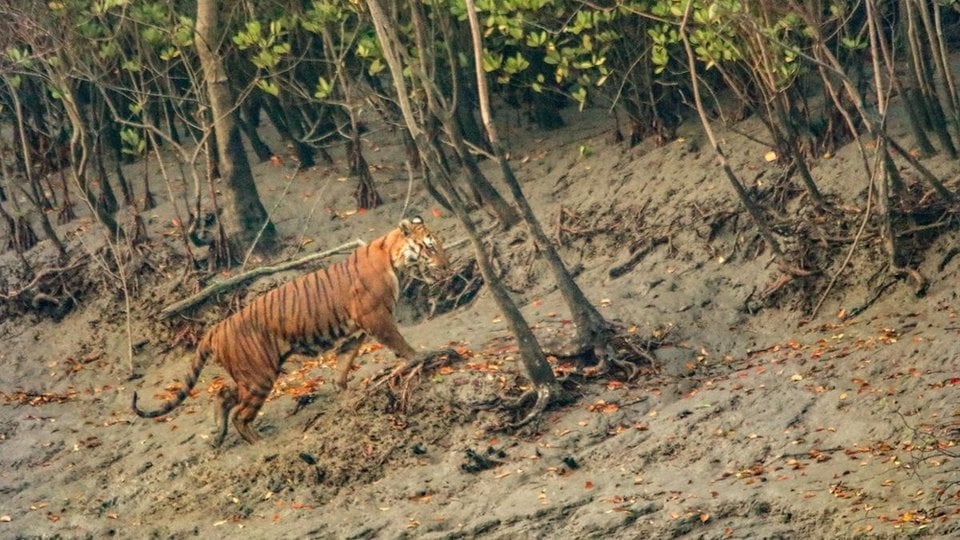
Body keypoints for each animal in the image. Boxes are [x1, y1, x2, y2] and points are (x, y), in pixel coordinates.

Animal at [132, 216, 448, 446]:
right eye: (430, 247)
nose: (445, 266)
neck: (393, 257)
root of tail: (216, 328)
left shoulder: (355, 333)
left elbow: (344, 364)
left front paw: (344, 392)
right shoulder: (376, 318)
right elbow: (400, 343)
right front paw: (418, 358)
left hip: (249, 374)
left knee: (223, 394)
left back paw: (218, 436)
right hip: (259, 375)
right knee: (240, 414)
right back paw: (259, 442)